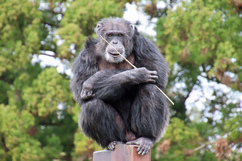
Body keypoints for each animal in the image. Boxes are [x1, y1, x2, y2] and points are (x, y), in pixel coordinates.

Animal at [70, 17, 168, 155]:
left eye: (120, 35)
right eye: (110, 35)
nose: (115, 42)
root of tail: (129, 138)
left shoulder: (145, 45)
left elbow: (157, 73)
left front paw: (93, 80)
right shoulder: (85, 57)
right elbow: (81, 92)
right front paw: (136, 73)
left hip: (135, 131)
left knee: (149, 87)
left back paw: (145, 138)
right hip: (122, 133)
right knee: (92, 106)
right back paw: (112, 142)